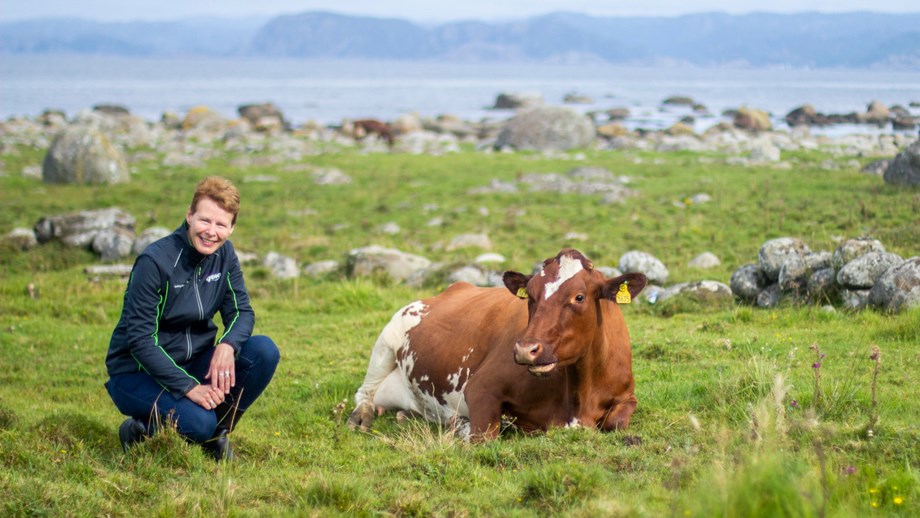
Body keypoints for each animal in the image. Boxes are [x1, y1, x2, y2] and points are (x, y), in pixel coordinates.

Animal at [346, 250, 648, 440]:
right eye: (531, 296)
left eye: (579, 297)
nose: (526, 349)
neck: (578, 396)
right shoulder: (481, 387)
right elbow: (486, 433)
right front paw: (464, 426)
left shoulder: (628, 396)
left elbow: (615, 423)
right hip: (386, 340)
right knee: (364, 392)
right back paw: (360, 417)